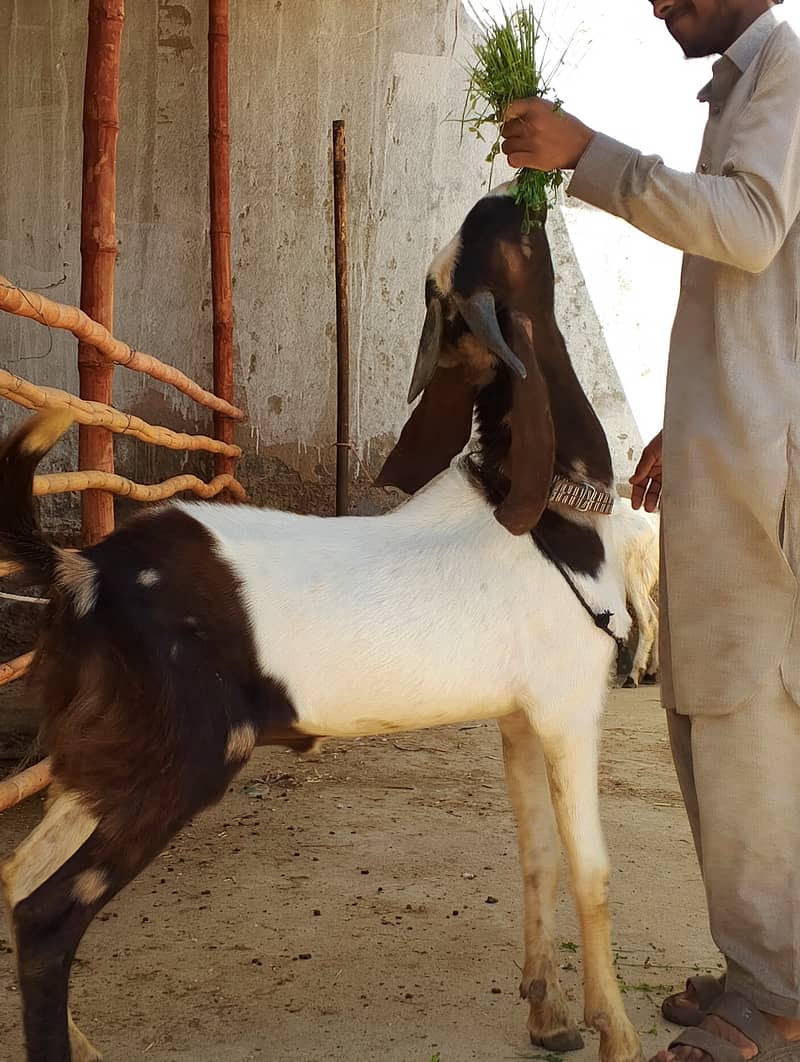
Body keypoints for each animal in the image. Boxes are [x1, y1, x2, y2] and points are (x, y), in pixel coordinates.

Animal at [0, 187, 643, 1062]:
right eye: (512, 242)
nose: (516, 191)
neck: (549, 514)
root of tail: (82, 572)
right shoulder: (569, 707)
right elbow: (593, 872)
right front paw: (616, 1032)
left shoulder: (518, 717)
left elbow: (537, 857)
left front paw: (547, 1017)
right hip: (185, 761)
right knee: (47, 914)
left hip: (106, 756)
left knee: (16, 876)